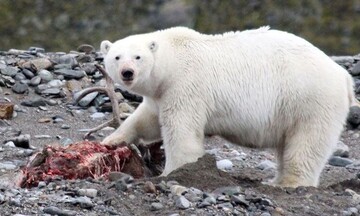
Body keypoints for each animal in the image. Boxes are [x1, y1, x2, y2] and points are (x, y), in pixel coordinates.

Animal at [100, 25, 354, 187]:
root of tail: (343, 75)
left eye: (138, 57)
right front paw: (111, 140)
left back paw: (288, 183)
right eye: (117, 57)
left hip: (309, 99)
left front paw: (174, 171)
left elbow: (181, 129)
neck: (172, 59)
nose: (127, 72)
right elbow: (147, 119)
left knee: (307, 143)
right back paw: (276, 179)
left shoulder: (186, 84)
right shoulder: (161, 93)